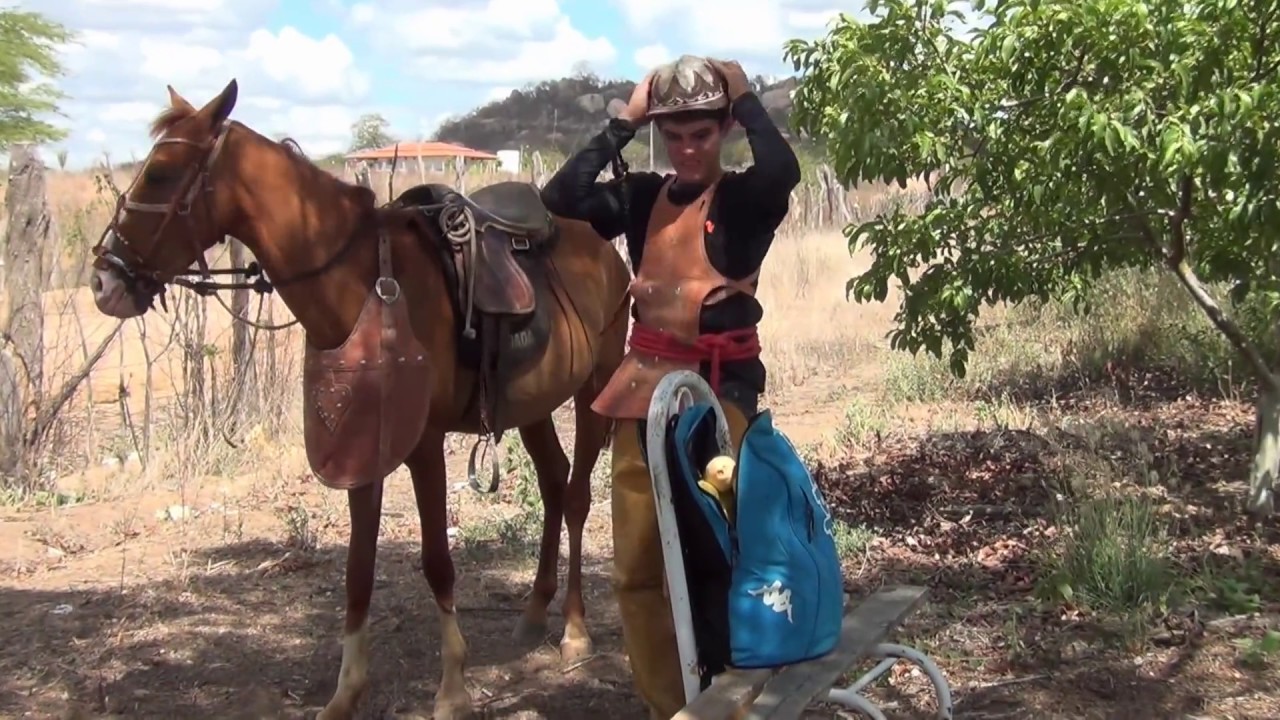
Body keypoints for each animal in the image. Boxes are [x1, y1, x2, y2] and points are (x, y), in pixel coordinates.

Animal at [82, 75, 632, 712]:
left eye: (163, 173)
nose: (104, 279)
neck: (362, 281)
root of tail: (599, 244)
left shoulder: (423, 445)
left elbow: (437, 562)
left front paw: (452, 688)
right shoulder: (362, 444)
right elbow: (358, 569)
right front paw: (346, 692)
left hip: (594, 389)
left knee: (576, 497)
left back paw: (574, 628)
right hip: (533, 405)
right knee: (552, 485)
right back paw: (536, 610)